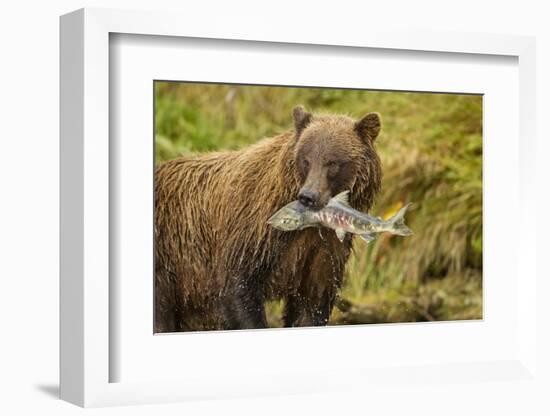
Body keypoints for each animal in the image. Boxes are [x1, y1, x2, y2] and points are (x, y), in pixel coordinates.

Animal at [153, 106, 382, 332]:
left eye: (333, 162)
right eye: (306, 159)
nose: (308, 196)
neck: (311, 224)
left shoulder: (324, 250)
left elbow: (312, 302)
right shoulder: (253, 231)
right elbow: (238, 288)